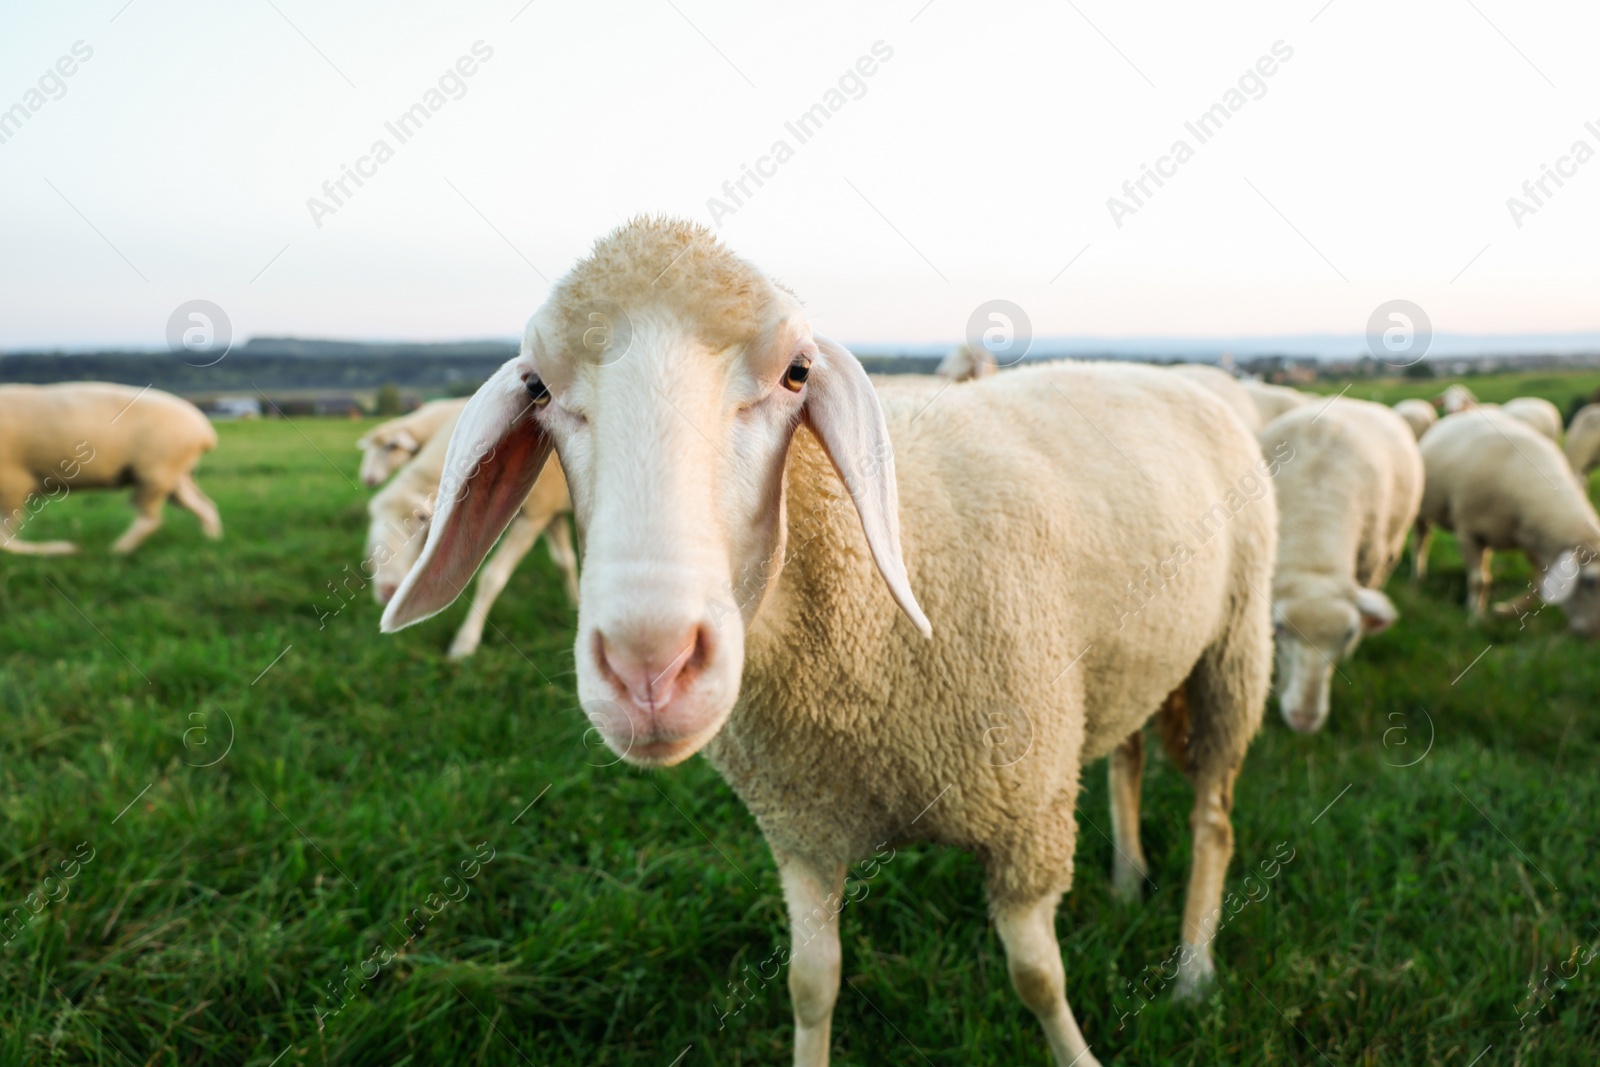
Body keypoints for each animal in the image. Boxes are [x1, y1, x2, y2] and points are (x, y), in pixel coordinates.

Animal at [0, 379, 219, 556]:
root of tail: (205, 431)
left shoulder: (13, 481)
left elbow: (4, 539)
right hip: (175, 473)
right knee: (204, 506)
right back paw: (211, 541)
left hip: (156, 470)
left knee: (151, 520)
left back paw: (113, 550)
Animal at [366, 409, 579, 659]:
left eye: (422, 518)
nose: (385, 592)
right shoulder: (549, 512)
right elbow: (564, 561)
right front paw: (575, 603)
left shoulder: (535, 515)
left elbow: (493, 577)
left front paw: (464, 643)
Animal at [1414, 404, 1600, 630]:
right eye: (1590, 582)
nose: (1593, 632)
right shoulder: (1468, 532)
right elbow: (1478, 581)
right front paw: (1476, 619)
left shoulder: (1532, 541)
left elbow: (1539, 584)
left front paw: (1503, 610)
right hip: (1422, 507)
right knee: (1422, 539)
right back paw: (1417, 577)